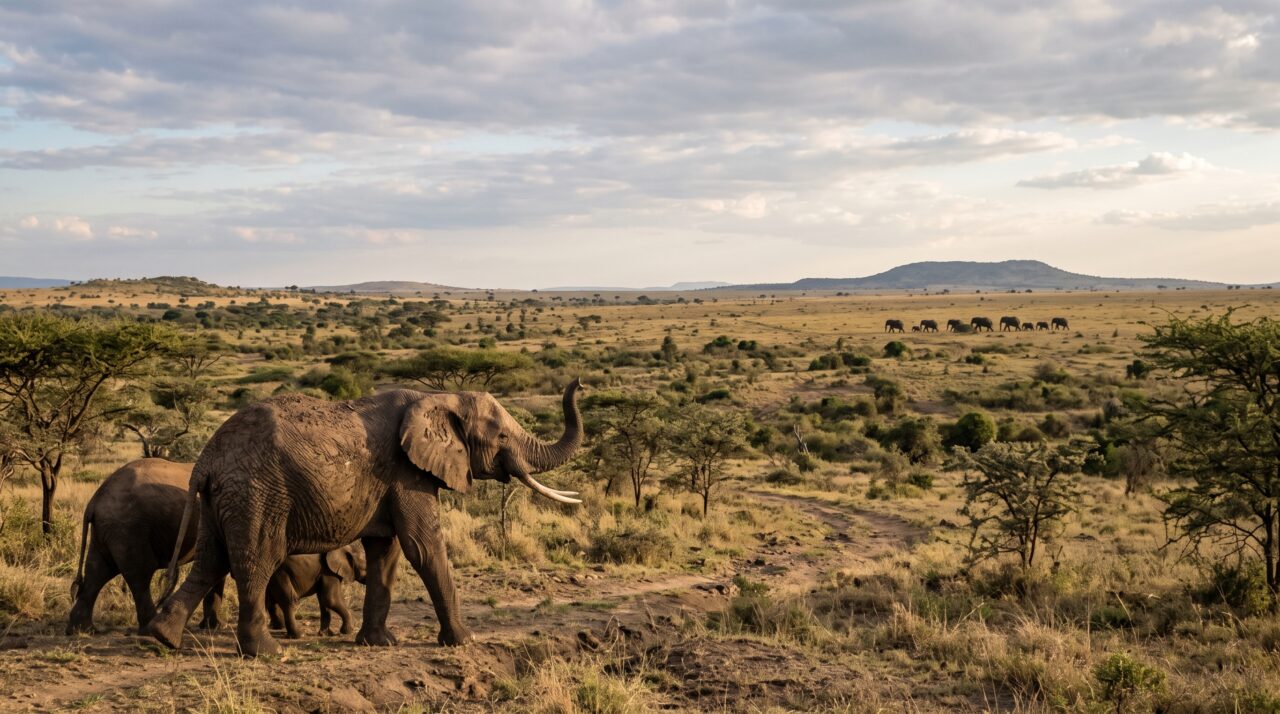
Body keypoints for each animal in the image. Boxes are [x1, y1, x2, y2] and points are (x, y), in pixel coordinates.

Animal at [67, 459, 224, 635]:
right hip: (127, 528)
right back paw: (149, 629)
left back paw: (82, 630)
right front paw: (215, 627)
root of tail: (93, 502)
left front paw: (213, 627)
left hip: (106, 529)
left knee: (97, 571)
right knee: (139, 573)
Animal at [149, 379, 585, 657]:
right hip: (257, 492)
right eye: (502, 439)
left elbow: (386, 553)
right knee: (257, 560)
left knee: (211, 559)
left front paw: (379, 643)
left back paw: (162, 638)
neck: (439, 398)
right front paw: (465, 641)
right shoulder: (407, 472)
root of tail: (206, 458)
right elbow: (423, 547)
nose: (579, 384)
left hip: (221, 499)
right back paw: (267, 653)